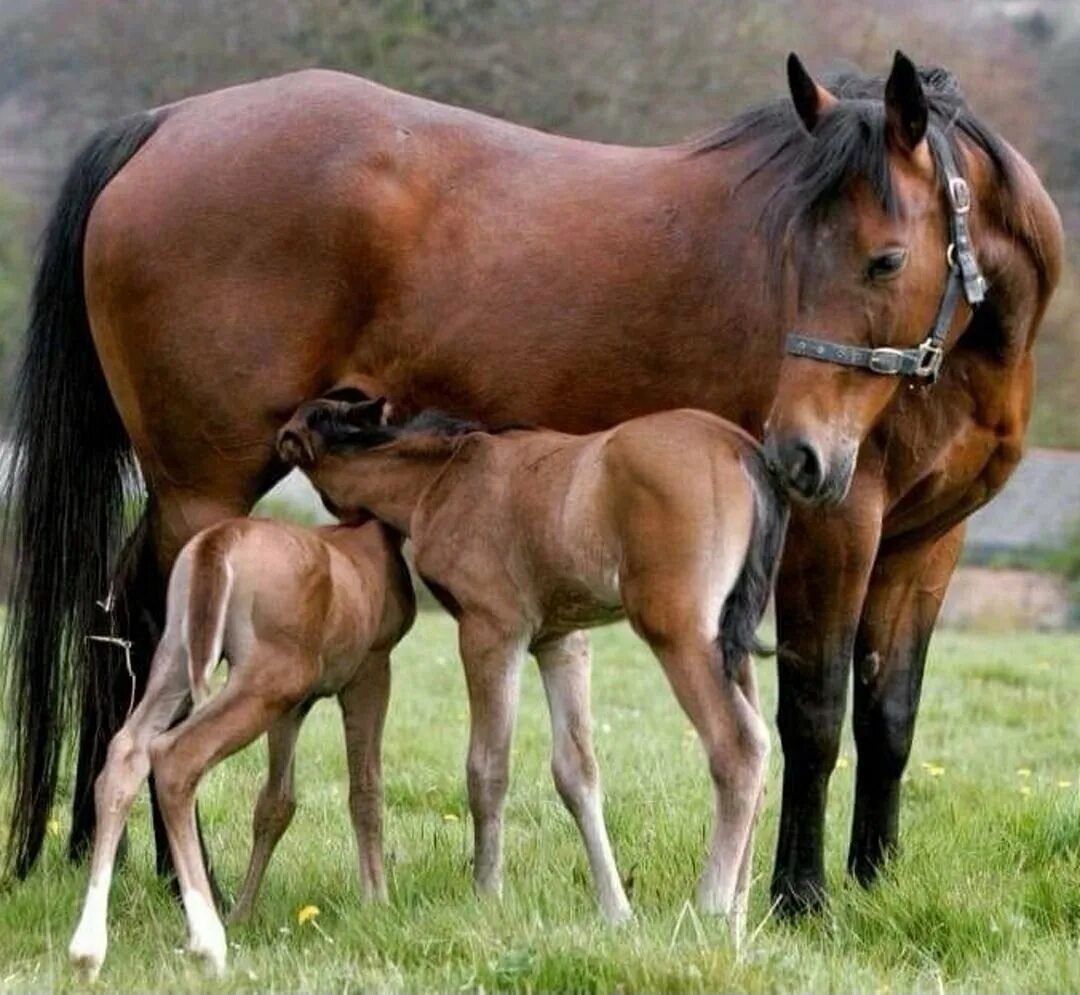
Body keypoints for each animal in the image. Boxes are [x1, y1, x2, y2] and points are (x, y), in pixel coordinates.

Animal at [68, 520, 412, 976]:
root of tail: (221, 538)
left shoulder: (295, 707)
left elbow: (276, 803)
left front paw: (244, 913)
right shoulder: (370, 671)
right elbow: (366, 790)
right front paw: (377, 902)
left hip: (181, 656)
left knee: (127, 751)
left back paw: (88, 948)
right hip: (267, 680)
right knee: (176, 756)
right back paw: (208, 942)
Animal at [278, 393, 786, 933]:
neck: (444, 476)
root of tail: (738, 446)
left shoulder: (490, 630)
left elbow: (487, 769)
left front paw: (487, 895)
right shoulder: (561, 641)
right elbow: (576, 772)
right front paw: (615, 911)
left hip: (678, 633)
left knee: (739, 747)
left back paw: (708, 908)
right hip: (731, 645)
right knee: (758, 752)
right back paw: (736, 921)